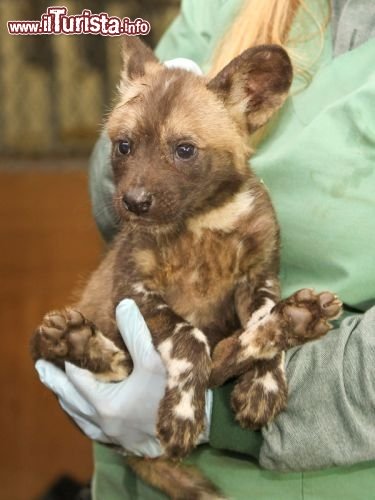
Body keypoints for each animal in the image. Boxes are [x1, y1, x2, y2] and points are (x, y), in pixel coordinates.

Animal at [31, 37, 344, 498]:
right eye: (124, 146)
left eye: (184, 150)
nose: (134, 202)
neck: (202, 222)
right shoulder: (134, 290)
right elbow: (189, 340)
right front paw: (182, 415)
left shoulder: (259, 280)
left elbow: (255, 320)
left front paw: (264, 385)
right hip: (65, 344)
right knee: (120, 367)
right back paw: (78, 342)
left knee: (222, 358)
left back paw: (295, 319)